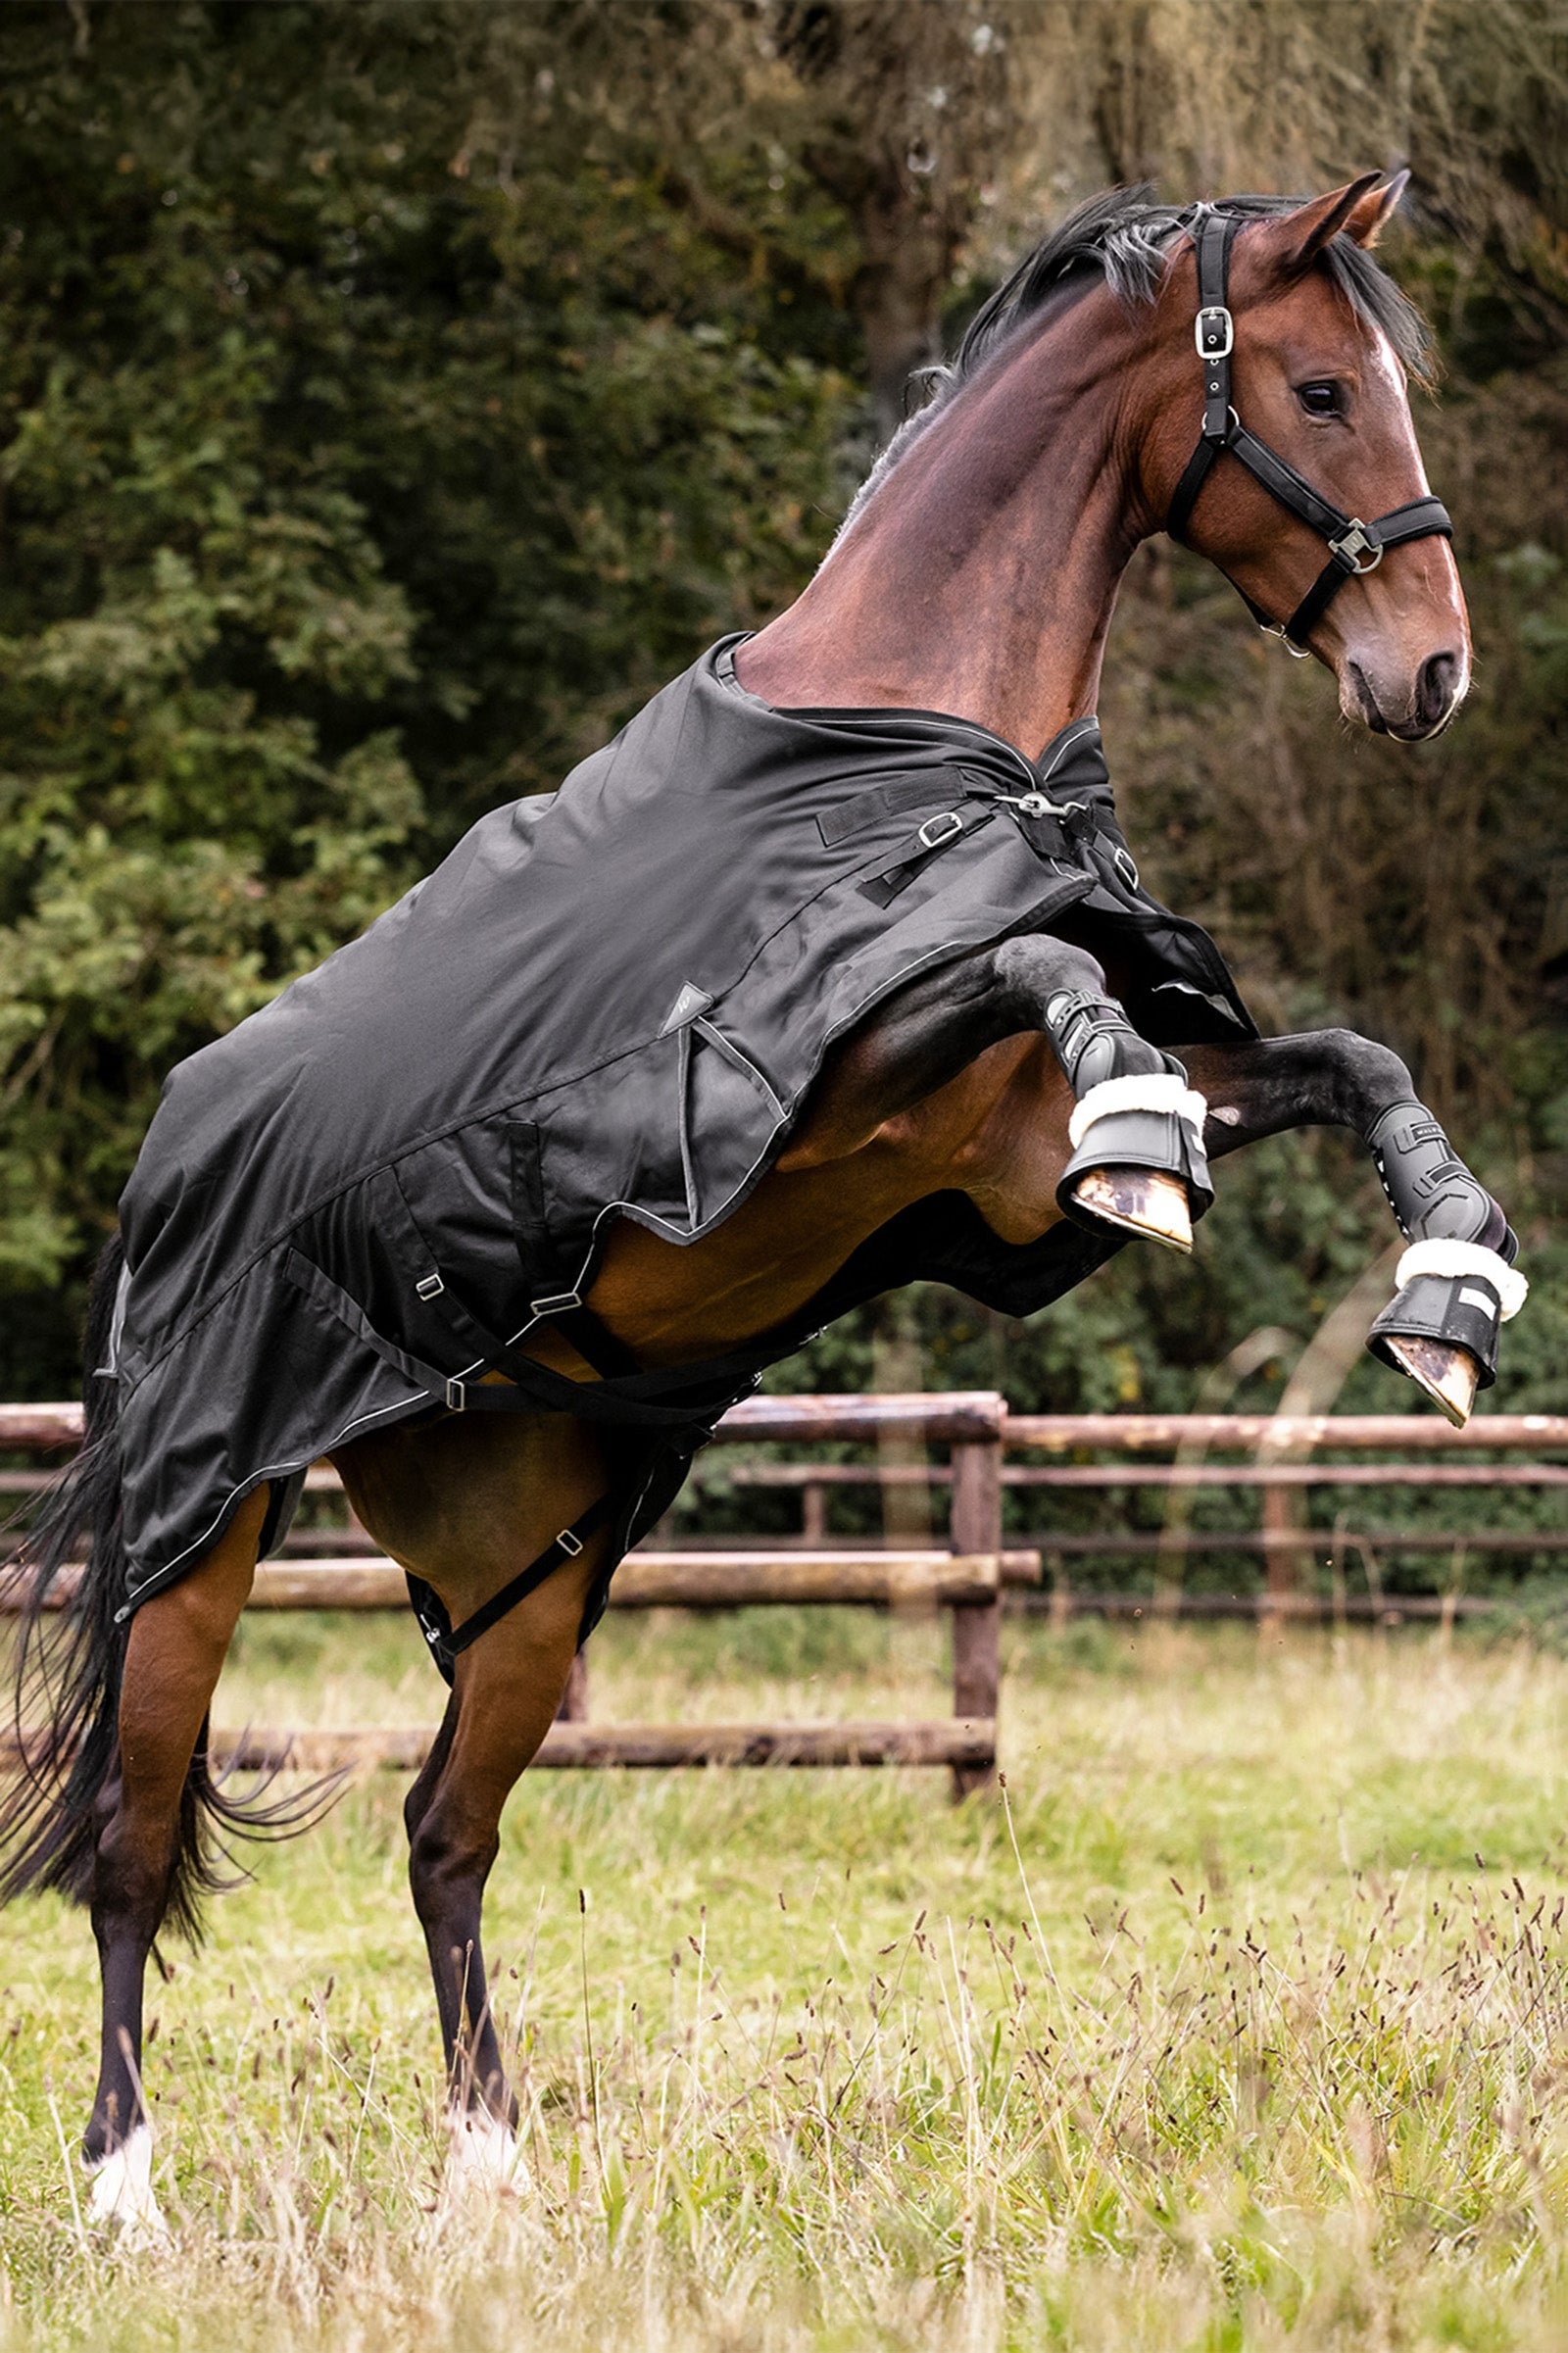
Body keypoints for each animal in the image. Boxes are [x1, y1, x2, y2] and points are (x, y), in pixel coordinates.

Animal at [1, 172, 1526, 2233]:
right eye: (1317, 388)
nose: (1427, 671)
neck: (913, 750)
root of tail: (167, 1163)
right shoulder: (829, 1079)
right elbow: (1053, 973)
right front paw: (1153, 1143)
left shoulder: (997, 1162)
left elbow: (1346, 1058)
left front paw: (1450, 1295)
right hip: (197, 1535)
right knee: (131, 1839)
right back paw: (125, 2193)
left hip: (528, 1577)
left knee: (441, 1831)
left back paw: (495, 2172)